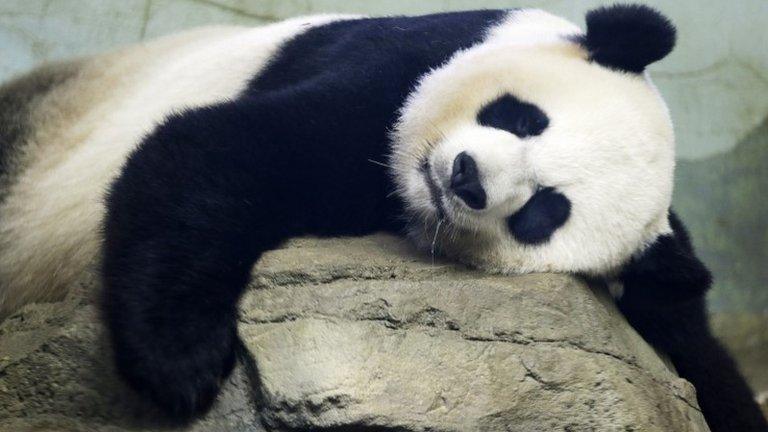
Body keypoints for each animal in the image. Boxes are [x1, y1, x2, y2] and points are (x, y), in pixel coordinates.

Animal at [0, 4, 764, 432]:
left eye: (545, 211)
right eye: (522, 117)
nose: (466, 178)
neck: (400, 193)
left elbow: (692, 337)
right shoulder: (399, 67)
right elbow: (217, 147)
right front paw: (180, 363)